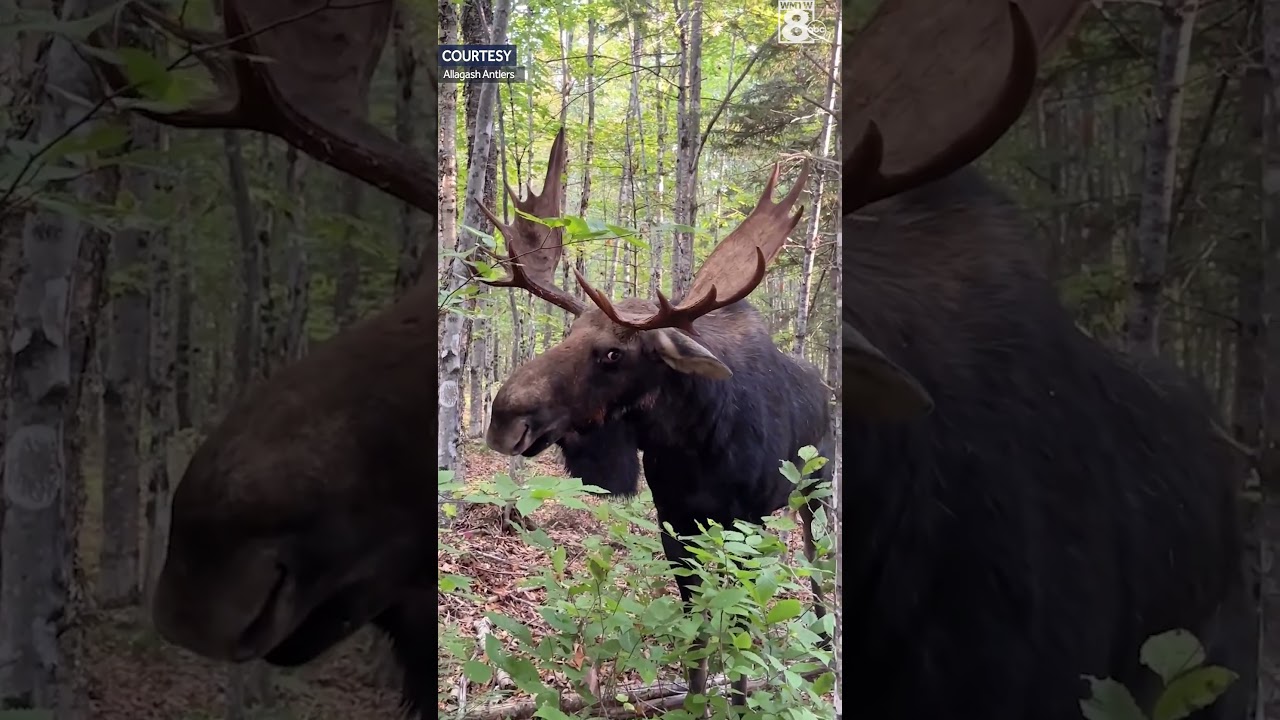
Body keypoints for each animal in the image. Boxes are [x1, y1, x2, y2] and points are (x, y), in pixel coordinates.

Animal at [478, 128, 834, 706]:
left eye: (612, 353)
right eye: (568, 334)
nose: (503, 417)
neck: (697, 443)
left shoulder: (747, 522)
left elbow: (738, 628)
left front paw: (739, 700)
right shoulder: (676, 523)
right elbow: (697, 632)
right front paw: (694, 700)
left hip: (817, 493)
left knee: (819, 565)